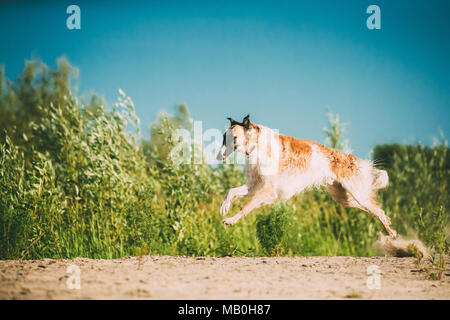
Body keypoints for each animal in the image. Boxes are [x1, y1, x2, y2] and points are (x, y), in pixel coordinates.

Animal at [218, 114, 398, 238]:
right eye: (223, 137)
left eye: (232, 138)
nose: (218, 156)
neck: (258, 146)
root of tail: (351, 158)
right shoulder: (253, 186)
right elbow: (231, 191)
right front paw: (224, 207)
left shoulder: (268, 191)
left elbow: (245, 207)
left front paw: (230, 220)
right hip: (344, 197)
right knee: (377, 210)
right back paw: (389, 227)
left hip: (357, 193)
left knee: (378, 211)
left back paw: (391, 232)